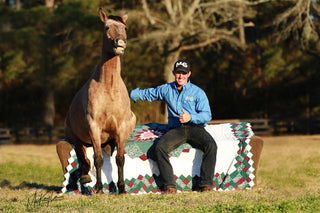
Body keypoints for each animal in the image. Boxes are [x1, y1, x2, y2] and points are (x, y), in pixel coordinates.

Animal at [62, 8, 136, 195]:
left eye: (125, 28)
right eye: (107, 27)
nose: (120, 43)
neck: (109, 87)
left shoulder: (121, 127)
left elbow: (119, 159)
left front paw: (122, 188)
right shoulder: (94, 126)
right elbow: (97, 159)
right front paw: (99, 188)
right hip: (76, 137)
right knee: (83, 157)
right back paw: (85, 178)